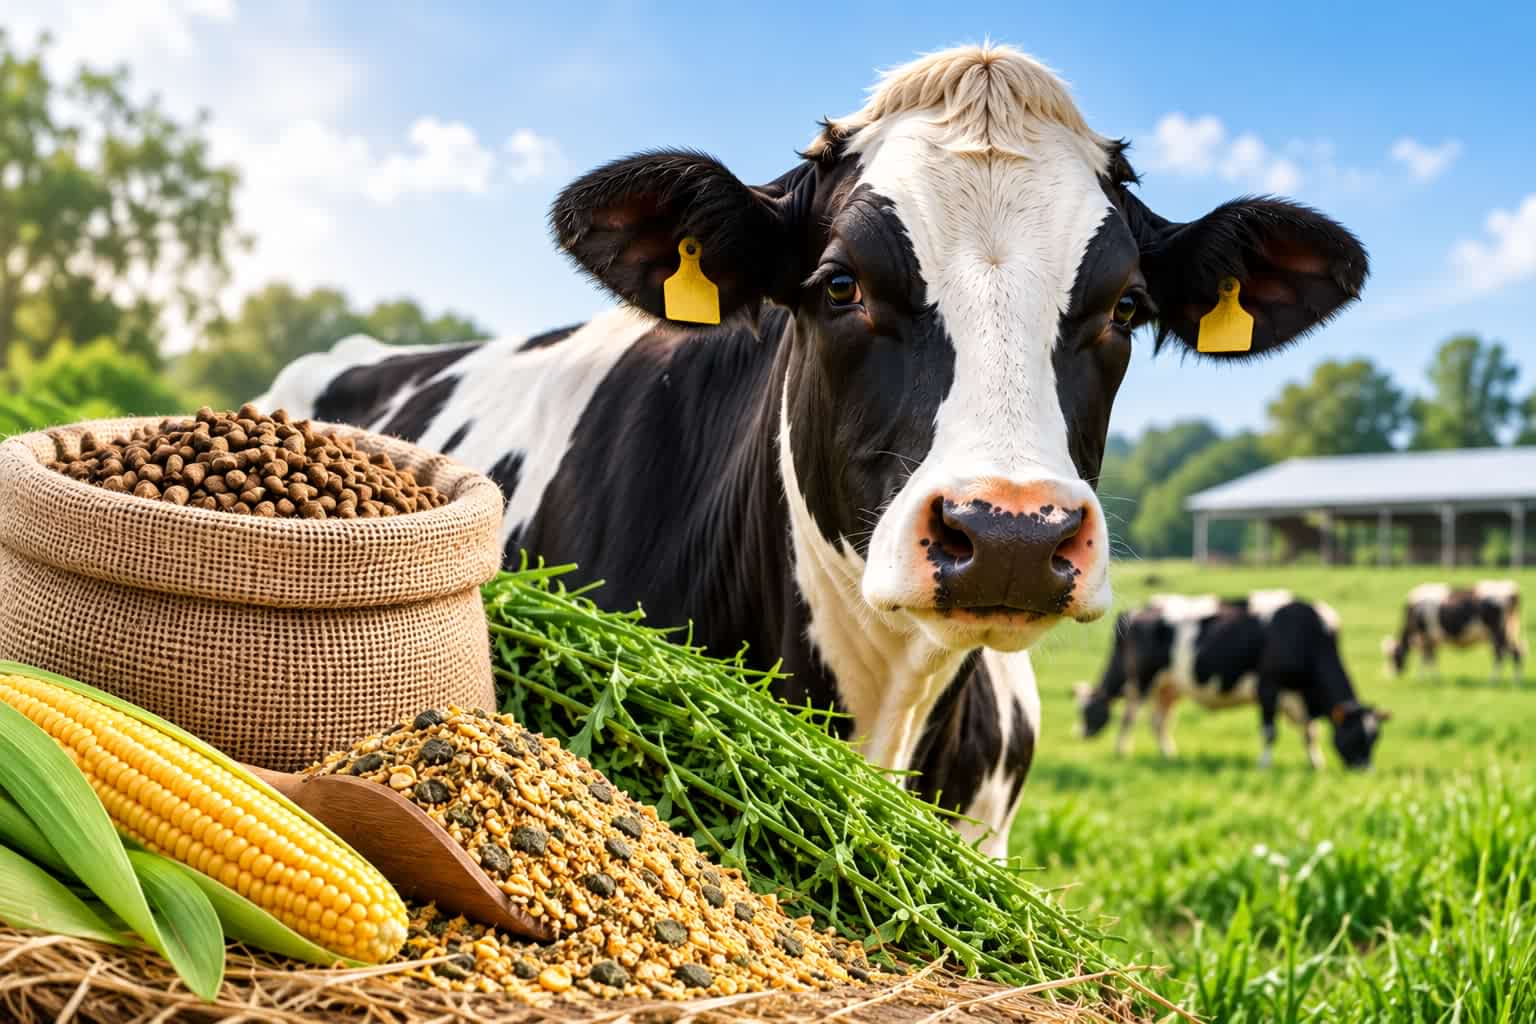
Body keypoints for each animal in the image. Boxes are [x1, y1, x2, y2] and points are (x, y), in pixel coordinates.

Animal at [1075, 591, 1389, 769]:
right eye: (1355, 736)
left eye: (1374, 738)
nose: (1365, 771)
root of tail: (1139, 610)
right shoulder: (1268, 686)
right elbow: (1270, 731)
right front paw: (1265, 764)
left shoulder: (1297, 696)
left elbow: (1310, 732)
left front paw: (1316, 763)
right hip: (1142, 680)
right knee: (1129, 717)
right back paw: (1121, 752)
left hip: (1168, 687)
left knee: (1158, 721)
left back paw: (1168, 755)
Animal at [1385, 581, 1524, 682]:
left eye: (1394, 656)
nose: (1391, 675)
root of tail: (1509, 589)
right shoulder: (1432, 639)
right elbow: (1432, 658)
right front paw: (1435, 678)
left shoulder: (1425, 637)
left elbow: (1425, 658)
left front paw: (1423, 678)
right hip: (1507, 631)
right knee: (1516, 651)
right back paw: (1516, 681)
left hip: (1497, 633)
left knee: (1501, 654)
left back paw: (1494, 680)